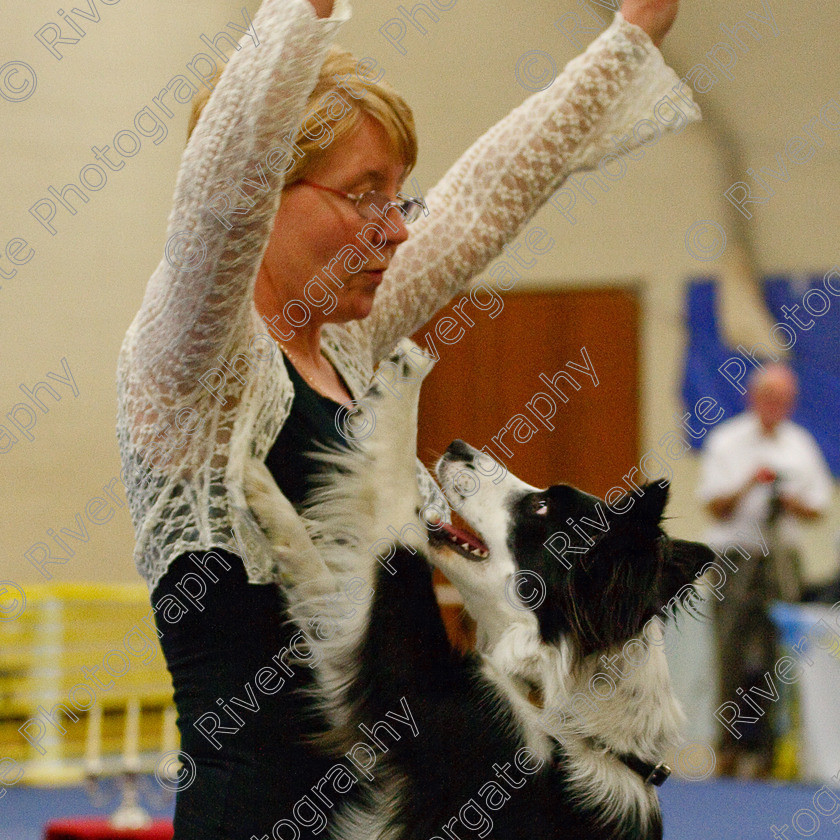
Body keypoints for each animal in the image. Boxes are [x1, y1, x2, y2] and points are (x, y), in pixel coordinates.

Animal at [244, 342, 716, 840]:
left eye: (541, 505)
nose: (457, 447)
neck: (564, 712)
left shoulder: (419, 692)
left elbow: (398, 520)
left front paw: (405, 373)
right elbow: (324, 587)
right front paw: (260, 493)